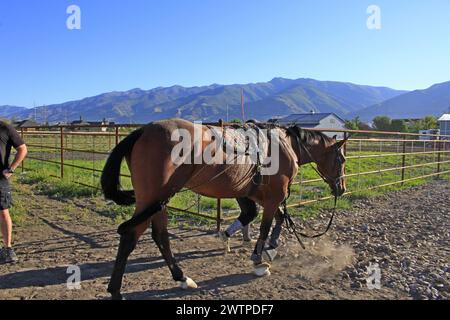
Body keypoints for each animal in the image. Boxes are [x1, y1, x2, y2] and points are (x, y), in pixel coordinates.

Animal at [102, 118, 348, 300]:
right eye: (342, 159)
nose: (342, 188)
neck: (285, 145)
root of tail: (143, 130)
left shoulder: (257, 195)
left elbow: (274, 219)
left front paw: (270, 247)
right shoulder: (273, 197)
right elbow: (266, 225)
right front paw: (259, 260)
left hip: (158, 202)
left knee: (160, 236)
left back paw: (181, 277)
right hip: (152, 200)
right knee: (130, 234)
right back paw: (116, 291)